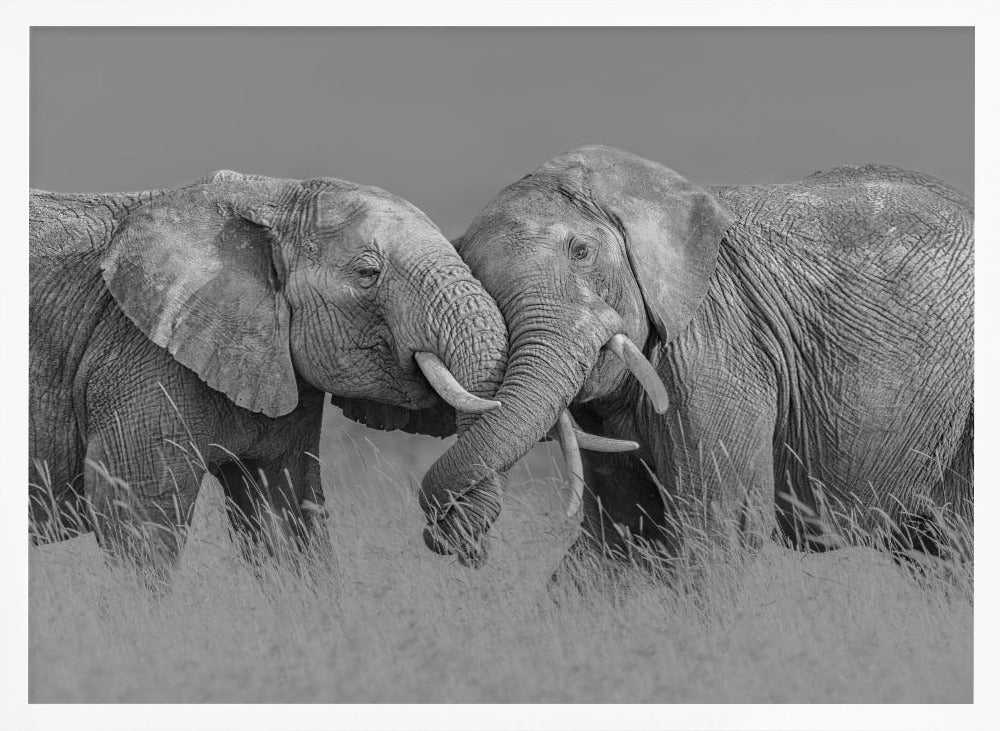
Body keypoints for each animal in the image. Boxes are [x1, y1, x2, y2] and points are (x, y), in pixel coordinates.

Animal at [29, 169, 510, 581]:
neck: (268, 198)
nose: (459, 545)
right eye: (367, 273)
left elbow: (284, 513)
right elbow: (136, 510)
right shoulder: (141, 353)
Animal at [418, 145, 973, 573]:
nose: (464, 544)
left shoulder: (717, 344)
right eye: (474, 275)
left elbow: (717, 528)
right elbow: (618, 535)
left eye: (581, 252)